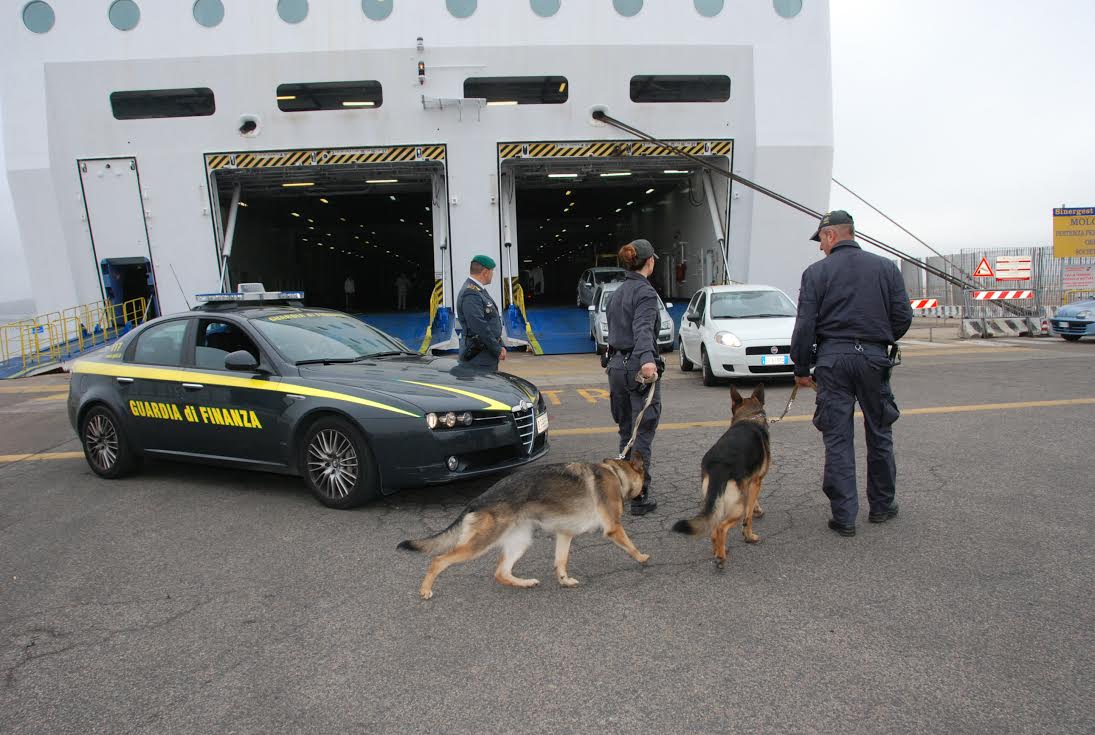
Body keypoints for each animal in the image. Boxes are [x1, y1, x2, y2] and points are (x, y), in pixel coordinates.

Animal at [398, 457, 648, 600]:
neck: (616, 473)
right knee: (439, 560)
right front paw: (643, 558)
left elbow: (561, 561)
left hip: (521, 541)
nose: (645, 496)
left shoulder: (564, 534)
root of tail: (477, 501)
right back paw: (425, 590)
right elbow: (631, 545)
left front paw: (564, 580)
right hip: (481, 543)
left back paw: (525, 583)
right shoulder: (613, 528)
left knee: (501, 573)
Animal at [674, 385, 770, 569]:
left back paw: (719, 550)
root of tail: (719, 464)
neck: (750, 417)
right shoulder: (756, 482)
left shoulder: (749, 482)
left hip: (715, 501)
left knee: (713, 527)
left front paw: (757, 509)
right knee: (721, 527)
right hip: (737, 506)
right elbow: (748, 517)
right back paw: (721, 557)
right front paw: (749, 535)